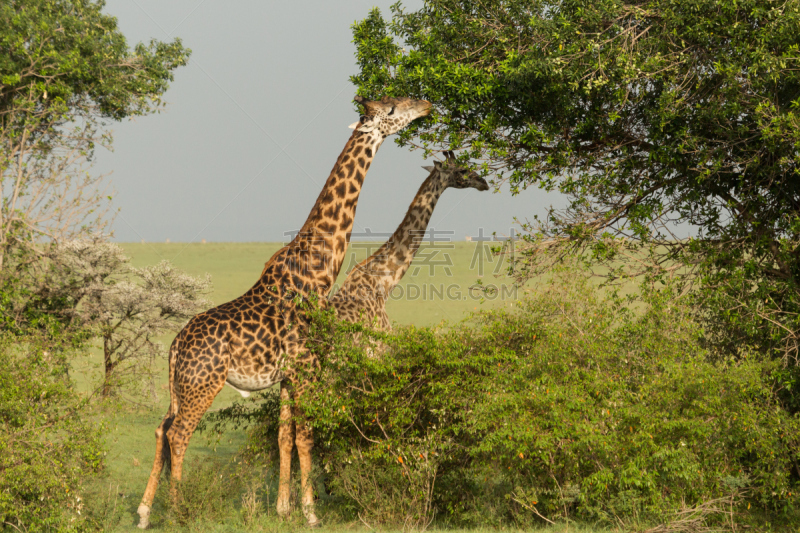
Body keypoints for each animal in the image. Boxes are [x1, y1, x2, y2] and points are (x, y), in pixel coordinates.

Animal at [140, 95, 434, 528]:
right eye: (393, 109)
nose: (426, 105)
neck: (318, 272)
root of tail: (176, 347)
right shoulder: (309, 368)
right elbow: (306, 434)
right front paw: (310, 513)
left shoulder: (288, 376)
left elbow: (285, 436)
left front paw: (283, 509)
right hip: (204, 384)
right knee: (179, 434)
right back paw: (178, 513)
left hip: (180, 386)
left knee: (162, 429)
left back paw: (145, 511)